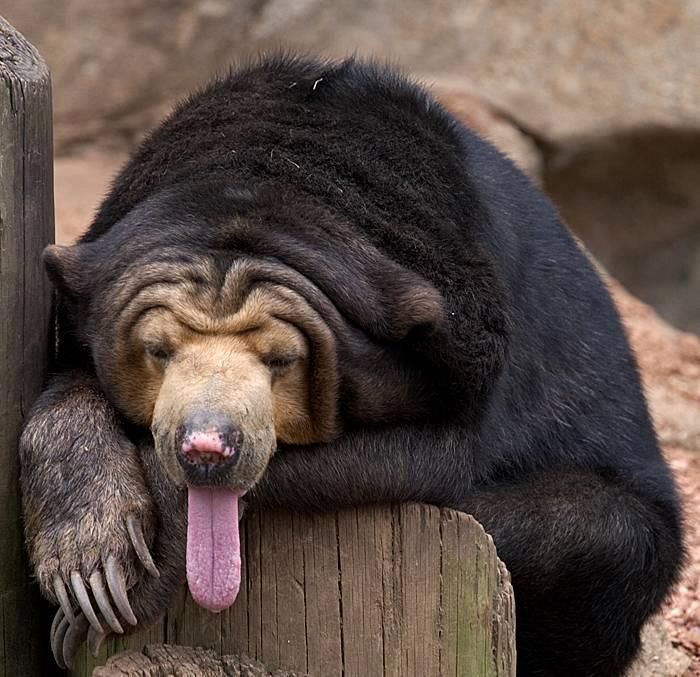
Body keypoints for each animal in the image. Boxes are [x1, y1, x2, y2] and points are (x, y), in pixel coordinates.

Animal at [19, 54, 683, 677]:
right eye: (159, 351)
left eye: (282, 360)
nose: (205, 448)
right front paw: (91, 565)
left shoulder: (470, 358)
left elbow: (424, 458)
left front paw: (123, 585)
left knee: (601, 534)